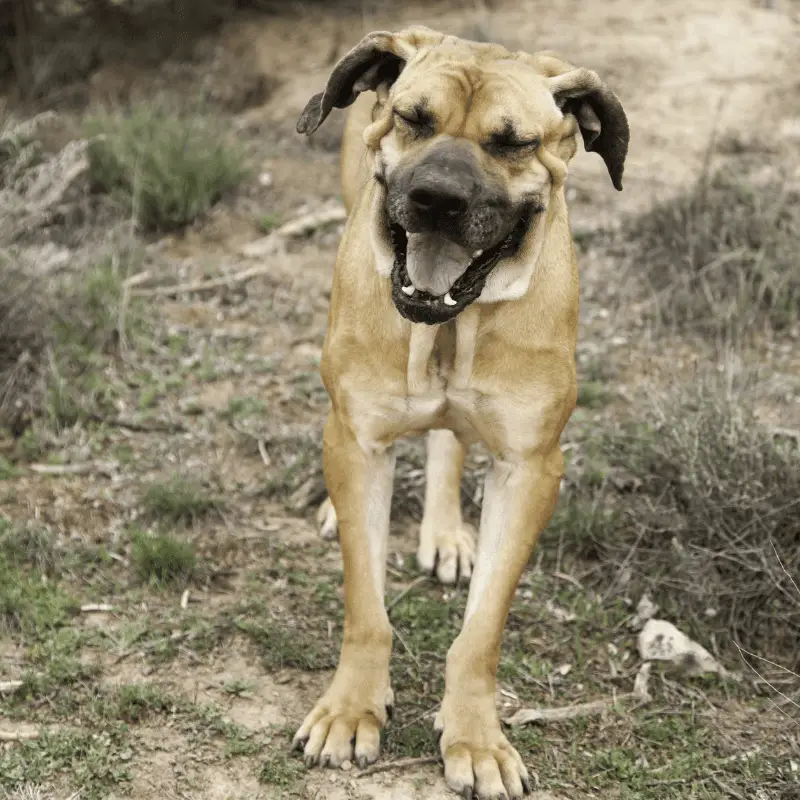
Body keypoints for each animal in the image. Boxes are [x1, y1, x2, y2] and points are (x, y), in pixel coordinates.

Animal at [290, 26, 628, 800]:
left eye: (513, 142)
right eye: (414, 118)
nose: (437, 199)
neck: (449, 326)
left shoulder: (530, 469)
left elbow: (482, 629)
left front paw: (476, 737)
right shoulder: (360, 443)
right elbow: (366, 607)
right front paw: (351, 709)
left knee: (448, 440)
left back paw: (445, 531)